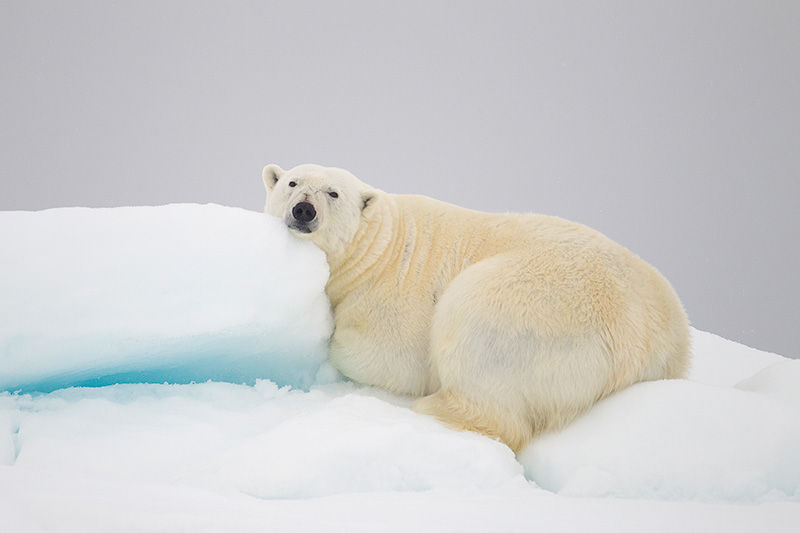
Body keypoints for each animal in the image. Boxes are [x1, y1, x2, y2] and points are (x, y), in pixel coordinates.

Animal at [260, 162, 688, 448]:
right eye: (293, 183)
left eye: (333, 193)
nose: (303, 210)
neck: (378, 248)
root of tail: (654, 345)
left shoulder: (391, 292)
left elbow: (388, 357)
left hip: (529, 307)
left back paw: (434, 408)